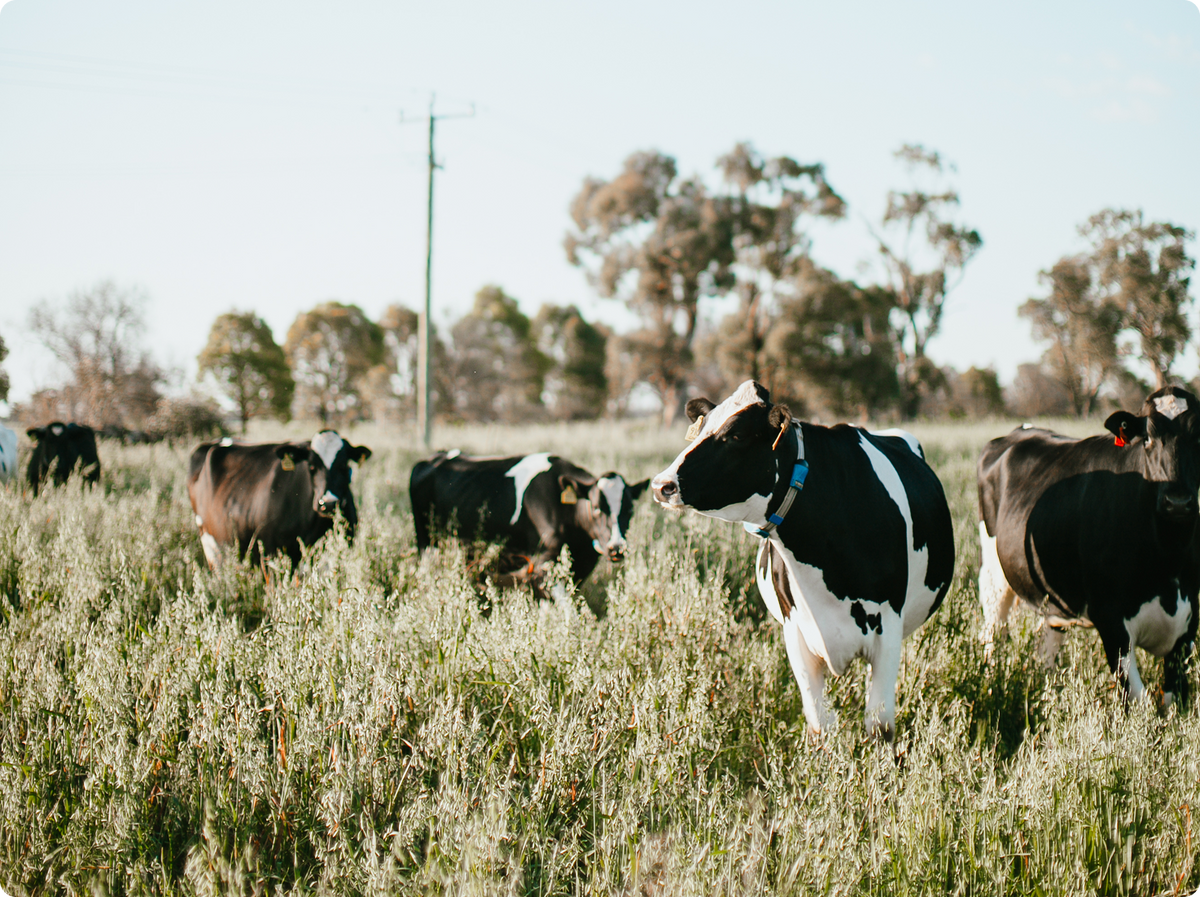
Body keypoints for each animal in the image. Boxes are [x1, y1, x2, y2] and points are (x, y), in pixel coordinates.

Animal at [409, 450, 650, 594]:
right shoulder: (543, 564)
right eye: (597, 508)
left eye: (629, 510)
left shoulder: (582, 565)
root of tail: (434, 457)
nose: (616, 548)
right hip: (425, 542)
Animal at [651, 381, 955, 742]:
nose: (661, 484)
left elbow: (879, 726)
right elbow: (821, 724)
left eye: (737, 435)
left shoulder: (888, 628)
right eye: (701, 427)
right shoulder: (796, 634)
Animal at [978, 386, 1200, 708]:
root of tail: (1021, 430)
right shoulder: (1111, 622)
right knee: (992, 636)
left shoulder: (1188, 623)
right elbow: (1139, 702)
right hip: (994, 578)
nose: (1178, 502)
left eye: (1198, 437)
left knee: (1047, 650)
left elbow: (1170, 704)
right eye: (1146, 438)